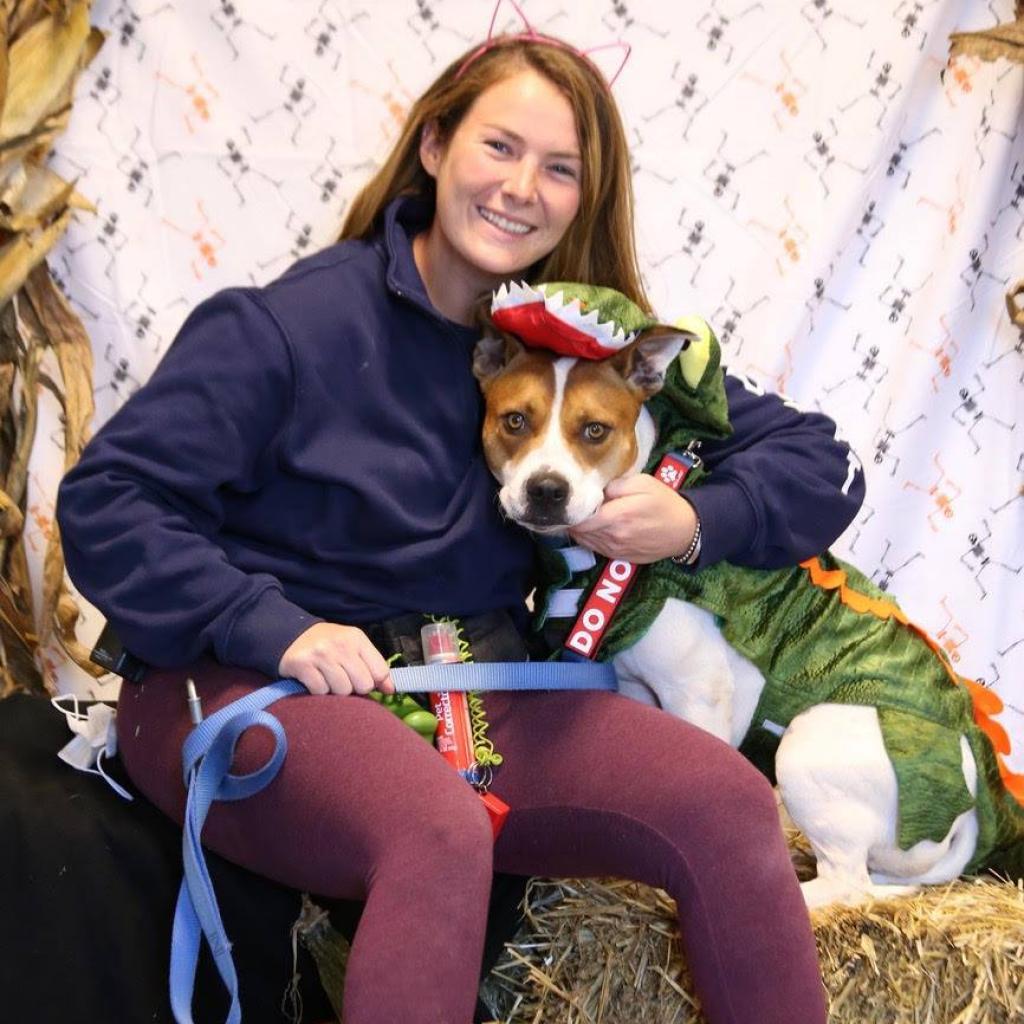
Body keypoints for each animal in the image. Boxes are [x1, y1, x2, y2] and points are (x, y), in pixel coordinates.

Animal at [471, 325, 983, 905]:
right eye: (515, 420)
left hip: (808, 746)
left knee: (847, 884)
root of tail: (967, 808)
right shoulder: (633, 689)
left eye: (595, 430)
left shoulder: (699, 693)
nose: (546, 489)